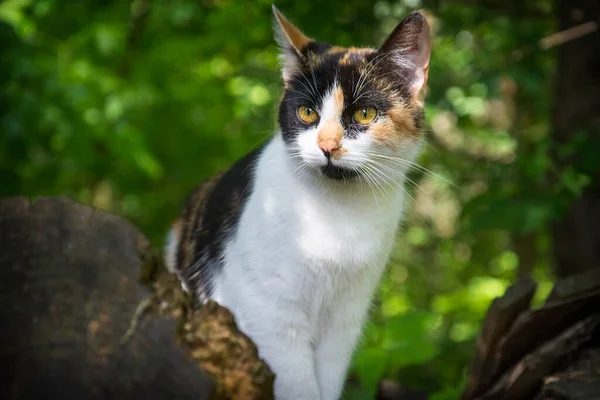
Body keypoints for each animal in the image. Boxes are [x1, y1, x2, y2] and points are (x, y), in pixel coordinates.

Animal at [164, 6, 432, 400]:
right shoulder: (270, 315)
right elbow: (299, 385)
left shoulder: (344, 323)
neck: (338, 213)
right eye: (307, 113)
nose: (327, 145)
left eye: (364, 114)